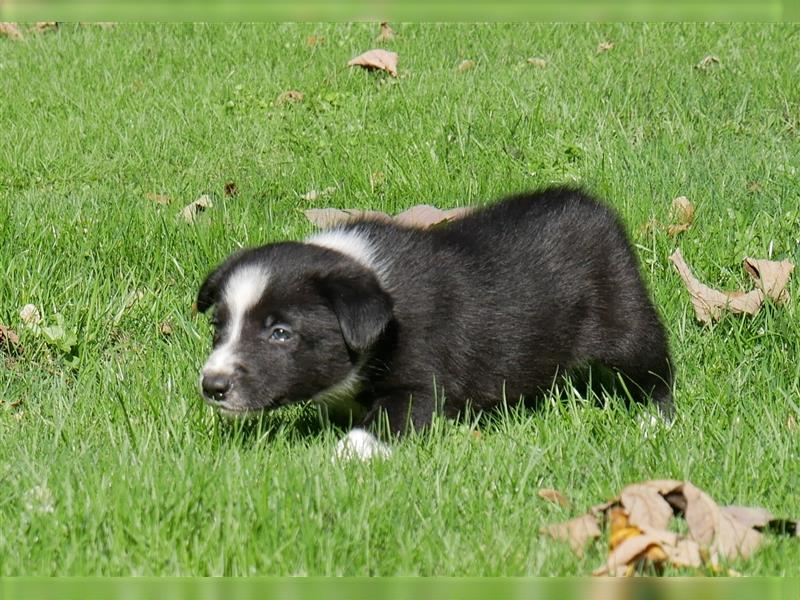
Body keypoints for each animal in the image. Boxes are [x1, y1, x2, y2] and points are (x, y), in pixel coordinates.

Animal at [197, 188, 672, 460]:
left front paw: (343, 456)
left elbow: (382, 424)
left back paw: (655, 420)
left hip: (625, 318)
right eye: (219, 327)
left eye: (281, 333)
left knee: (656, 365)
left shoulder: (421, 382)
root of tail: (594, 207)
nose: (213, 386)